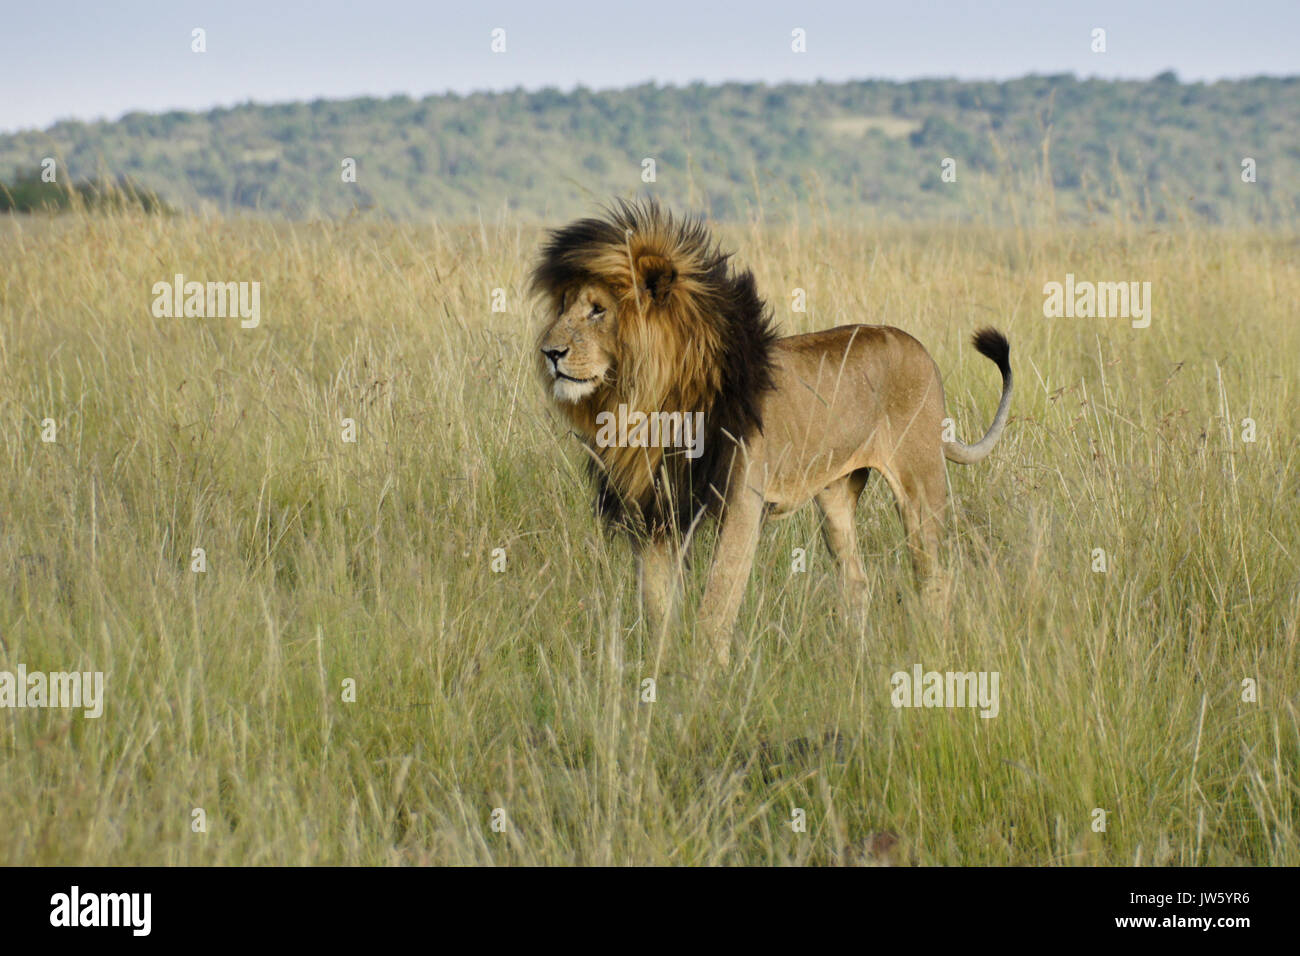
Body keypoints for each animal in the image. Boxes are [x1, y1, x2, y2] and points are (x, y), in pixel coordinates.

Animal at [530, 201, 1013, 665]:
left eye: (598, 310)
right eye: (563, 307)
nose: (549, 352)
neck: (646, 403)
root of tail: (920, 350)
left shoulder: (743, 503)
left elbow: (716, 604)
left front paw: (707, 678)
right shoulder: (655, 511)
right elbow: (657, 608)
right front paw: (661, 673)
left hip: (920, 486)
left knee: (934, 577)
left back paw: (934, 651)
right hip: (835, 496)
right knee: (856, 581)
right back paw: (853, 661)